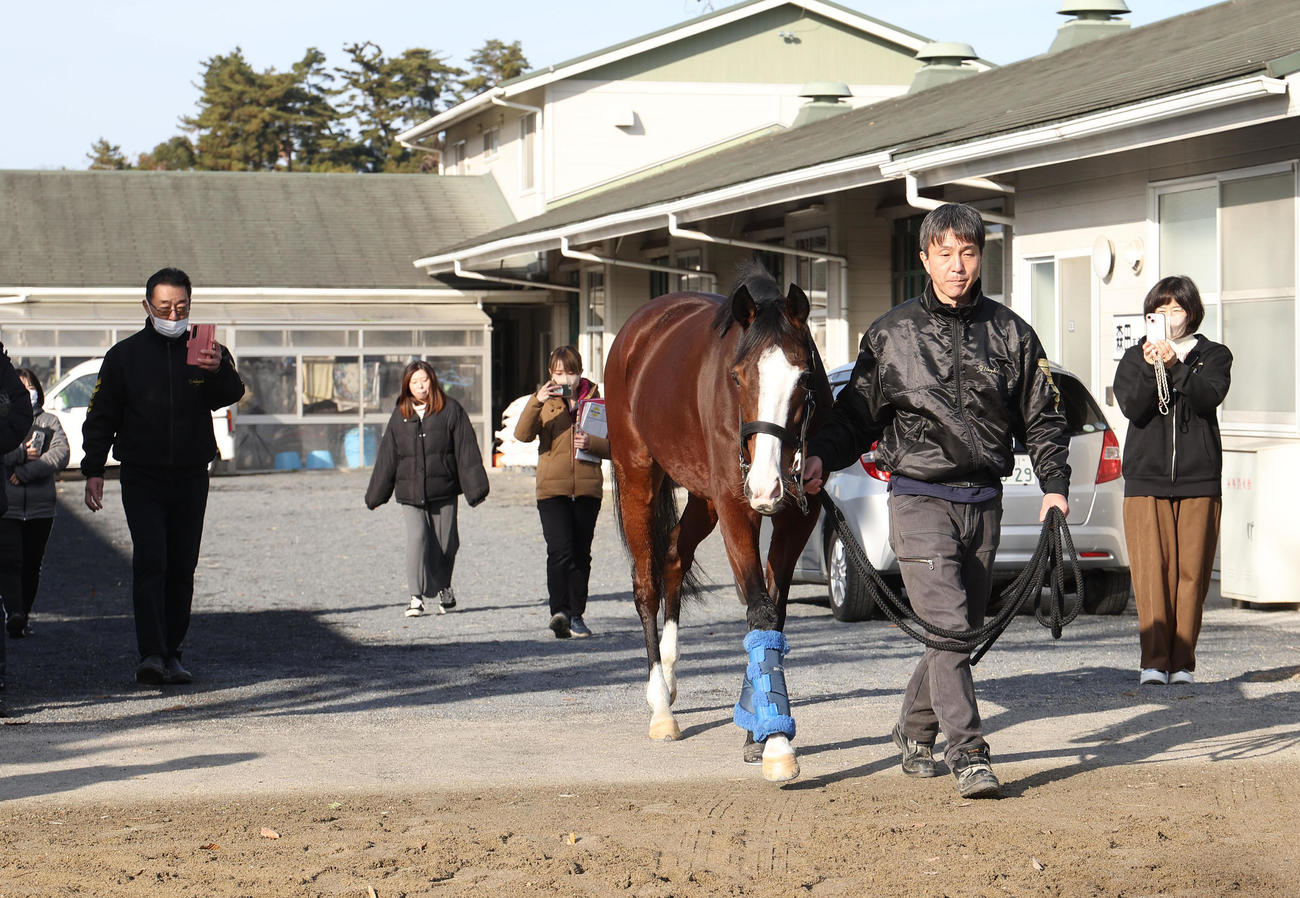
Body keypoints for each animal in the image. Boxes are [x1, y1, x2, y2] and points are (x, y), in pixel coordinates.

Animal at [603, 262, 833, 782]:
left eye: (804, 378)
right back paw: (660, 708)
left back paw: (669, 678)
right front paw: (776, 744)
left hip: (701, 498)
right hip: (637, 474)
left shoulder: (796, 519)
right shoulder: (734, 509)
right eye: (737, 377)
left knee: (673, 557)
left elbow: (773, 612)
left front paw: (757, 728)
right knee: (646, 583)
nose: (767, 486)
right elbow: (759, 608)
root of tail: (639, 328)